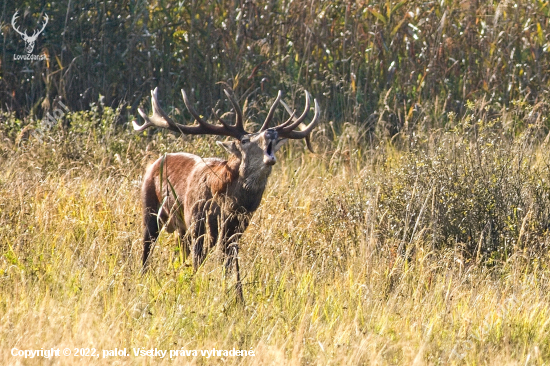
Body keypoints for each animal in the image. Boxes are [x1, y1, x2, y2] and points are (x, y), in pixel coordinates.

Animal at [133, 87, 320, 302]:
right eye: (245, 140)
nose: (271, 131)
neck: (228, 202)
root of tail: (152, 164)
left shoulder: (236, 228)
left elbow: (232, 265)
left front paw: (239, 299)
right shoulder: (197, 221)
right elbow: (199, 262)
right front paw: (197, 289)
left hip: (181, 228)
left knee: (178, 254)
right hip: (151, 208)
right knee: (147, 248)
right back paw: (143, 278)